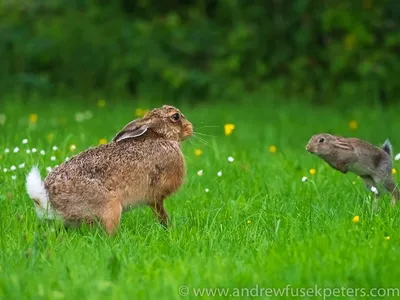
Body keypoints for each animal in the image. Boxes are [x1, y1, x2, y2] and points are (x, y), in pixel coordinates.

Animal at [25, 105, 194, 234]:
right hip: (110, 207)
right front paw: (168, 228)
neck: (161, 137)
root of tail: (47, 200)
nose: (190, 127)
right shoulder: (156, 196)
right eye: (175, 116)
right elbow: (160, 212)